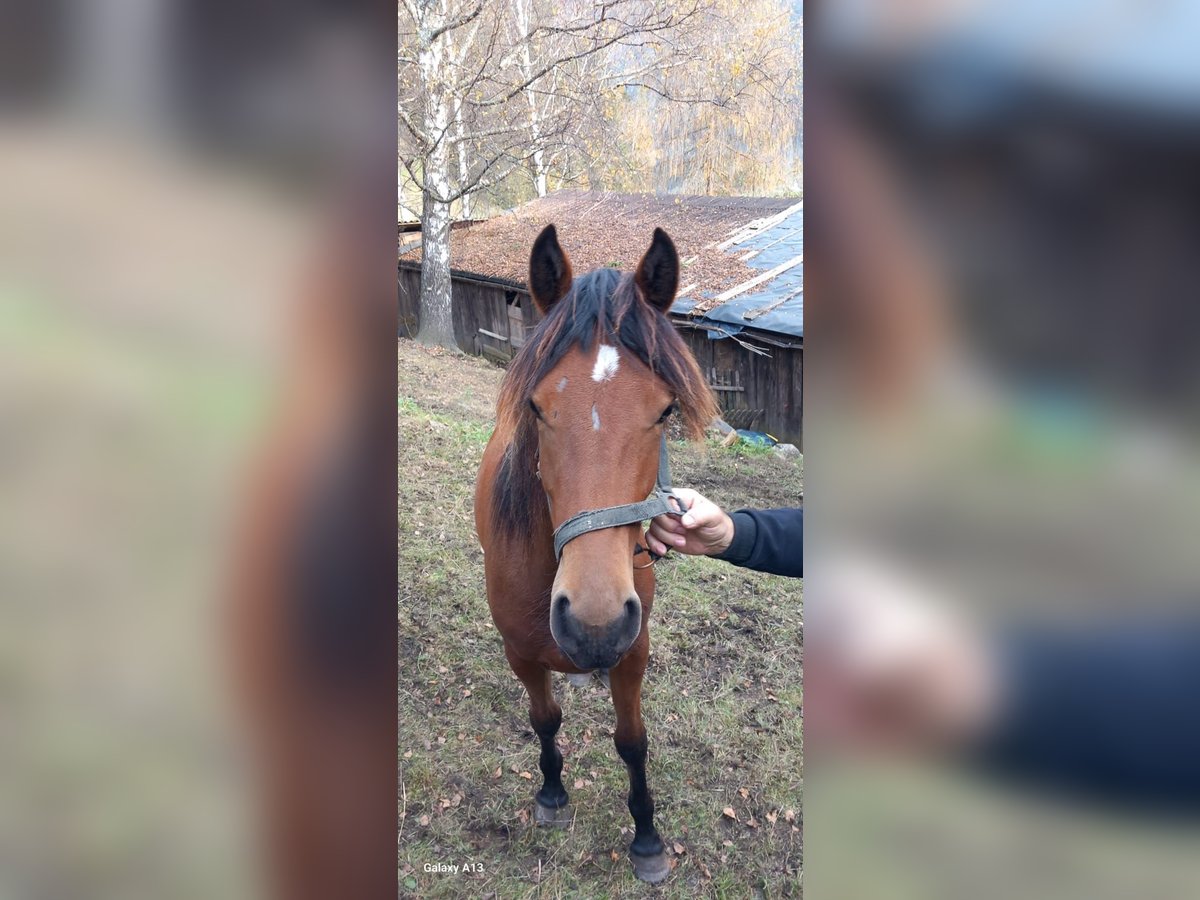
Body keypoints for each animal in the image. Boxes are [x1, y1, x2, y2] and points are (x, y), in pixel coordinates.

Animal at [472, 224, 715, 883]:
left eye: (665, 411)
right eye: (536, 407)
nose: (595, 623)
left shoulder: (635, 651)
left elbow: (633, 741)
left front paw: (648, 839)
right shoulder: (520, 653)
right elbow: (544, 719)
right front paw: (552, 795)